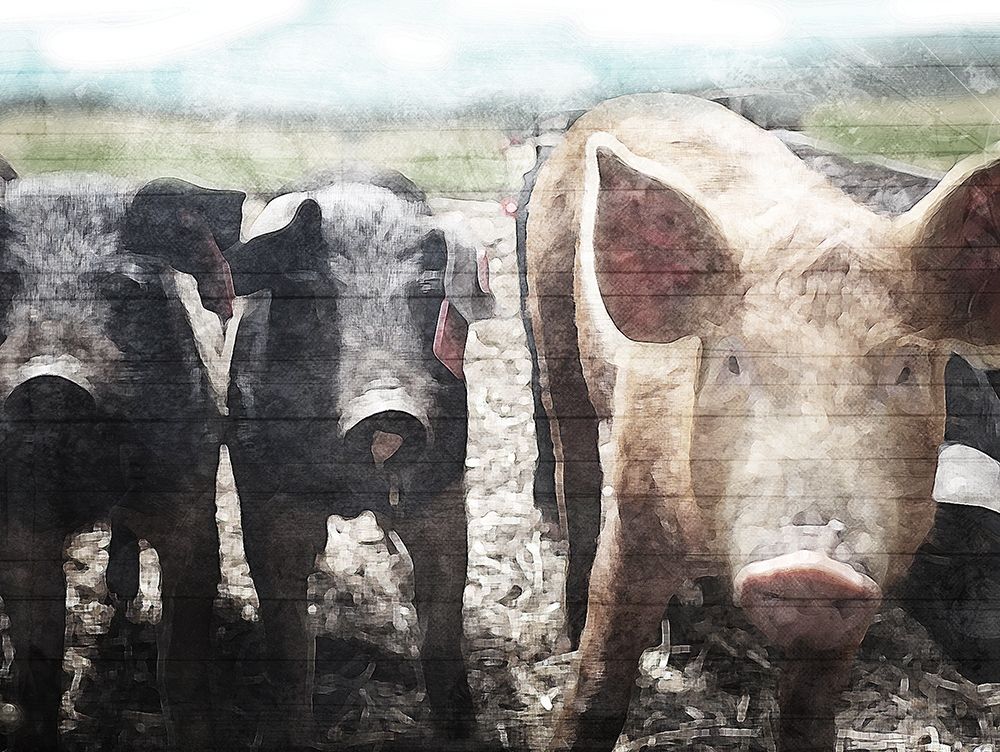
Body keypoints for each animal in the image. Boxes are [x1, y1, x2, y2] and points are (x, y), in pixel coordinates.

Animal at [0, 170, 245, 750]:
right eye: (0, 283)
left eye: (126, 289)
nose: (49, 381)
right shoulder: (21, 524)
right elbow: (39, 657)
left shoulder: (191, 501)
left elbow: (179, 662)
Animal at [224, 167, 493, 750]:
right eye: (312, 291)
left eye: (427, 293)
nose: (387, 408)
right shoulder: (269, 497)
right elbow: (290, 634)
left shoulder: (442, 490)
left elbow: (442, 617)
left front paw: (462, 730)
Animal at [520, 92, 1000, 751]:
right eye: (733, 361)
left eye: (905, 367)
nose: (811, 565)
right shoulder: (639, 515)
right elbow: (601, 672)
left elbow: (809, 713)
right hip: (548, 310)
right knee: (575, 464)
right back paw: (569, 623)